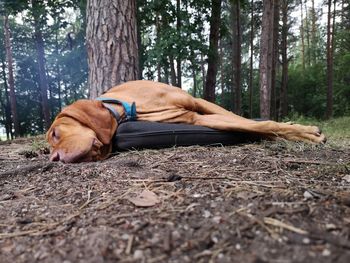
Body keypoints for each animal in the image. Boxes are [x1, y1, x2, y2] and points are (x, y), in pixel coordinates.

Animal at [46, 80, 326, 163]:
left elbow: (254, 121)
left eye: (56, 134)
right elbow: (255, 125)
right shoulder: (195, 117)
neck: (127, 106)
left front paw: (305, 132)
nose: (54, 159)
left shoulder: (197, 102)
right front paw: (301, 132)